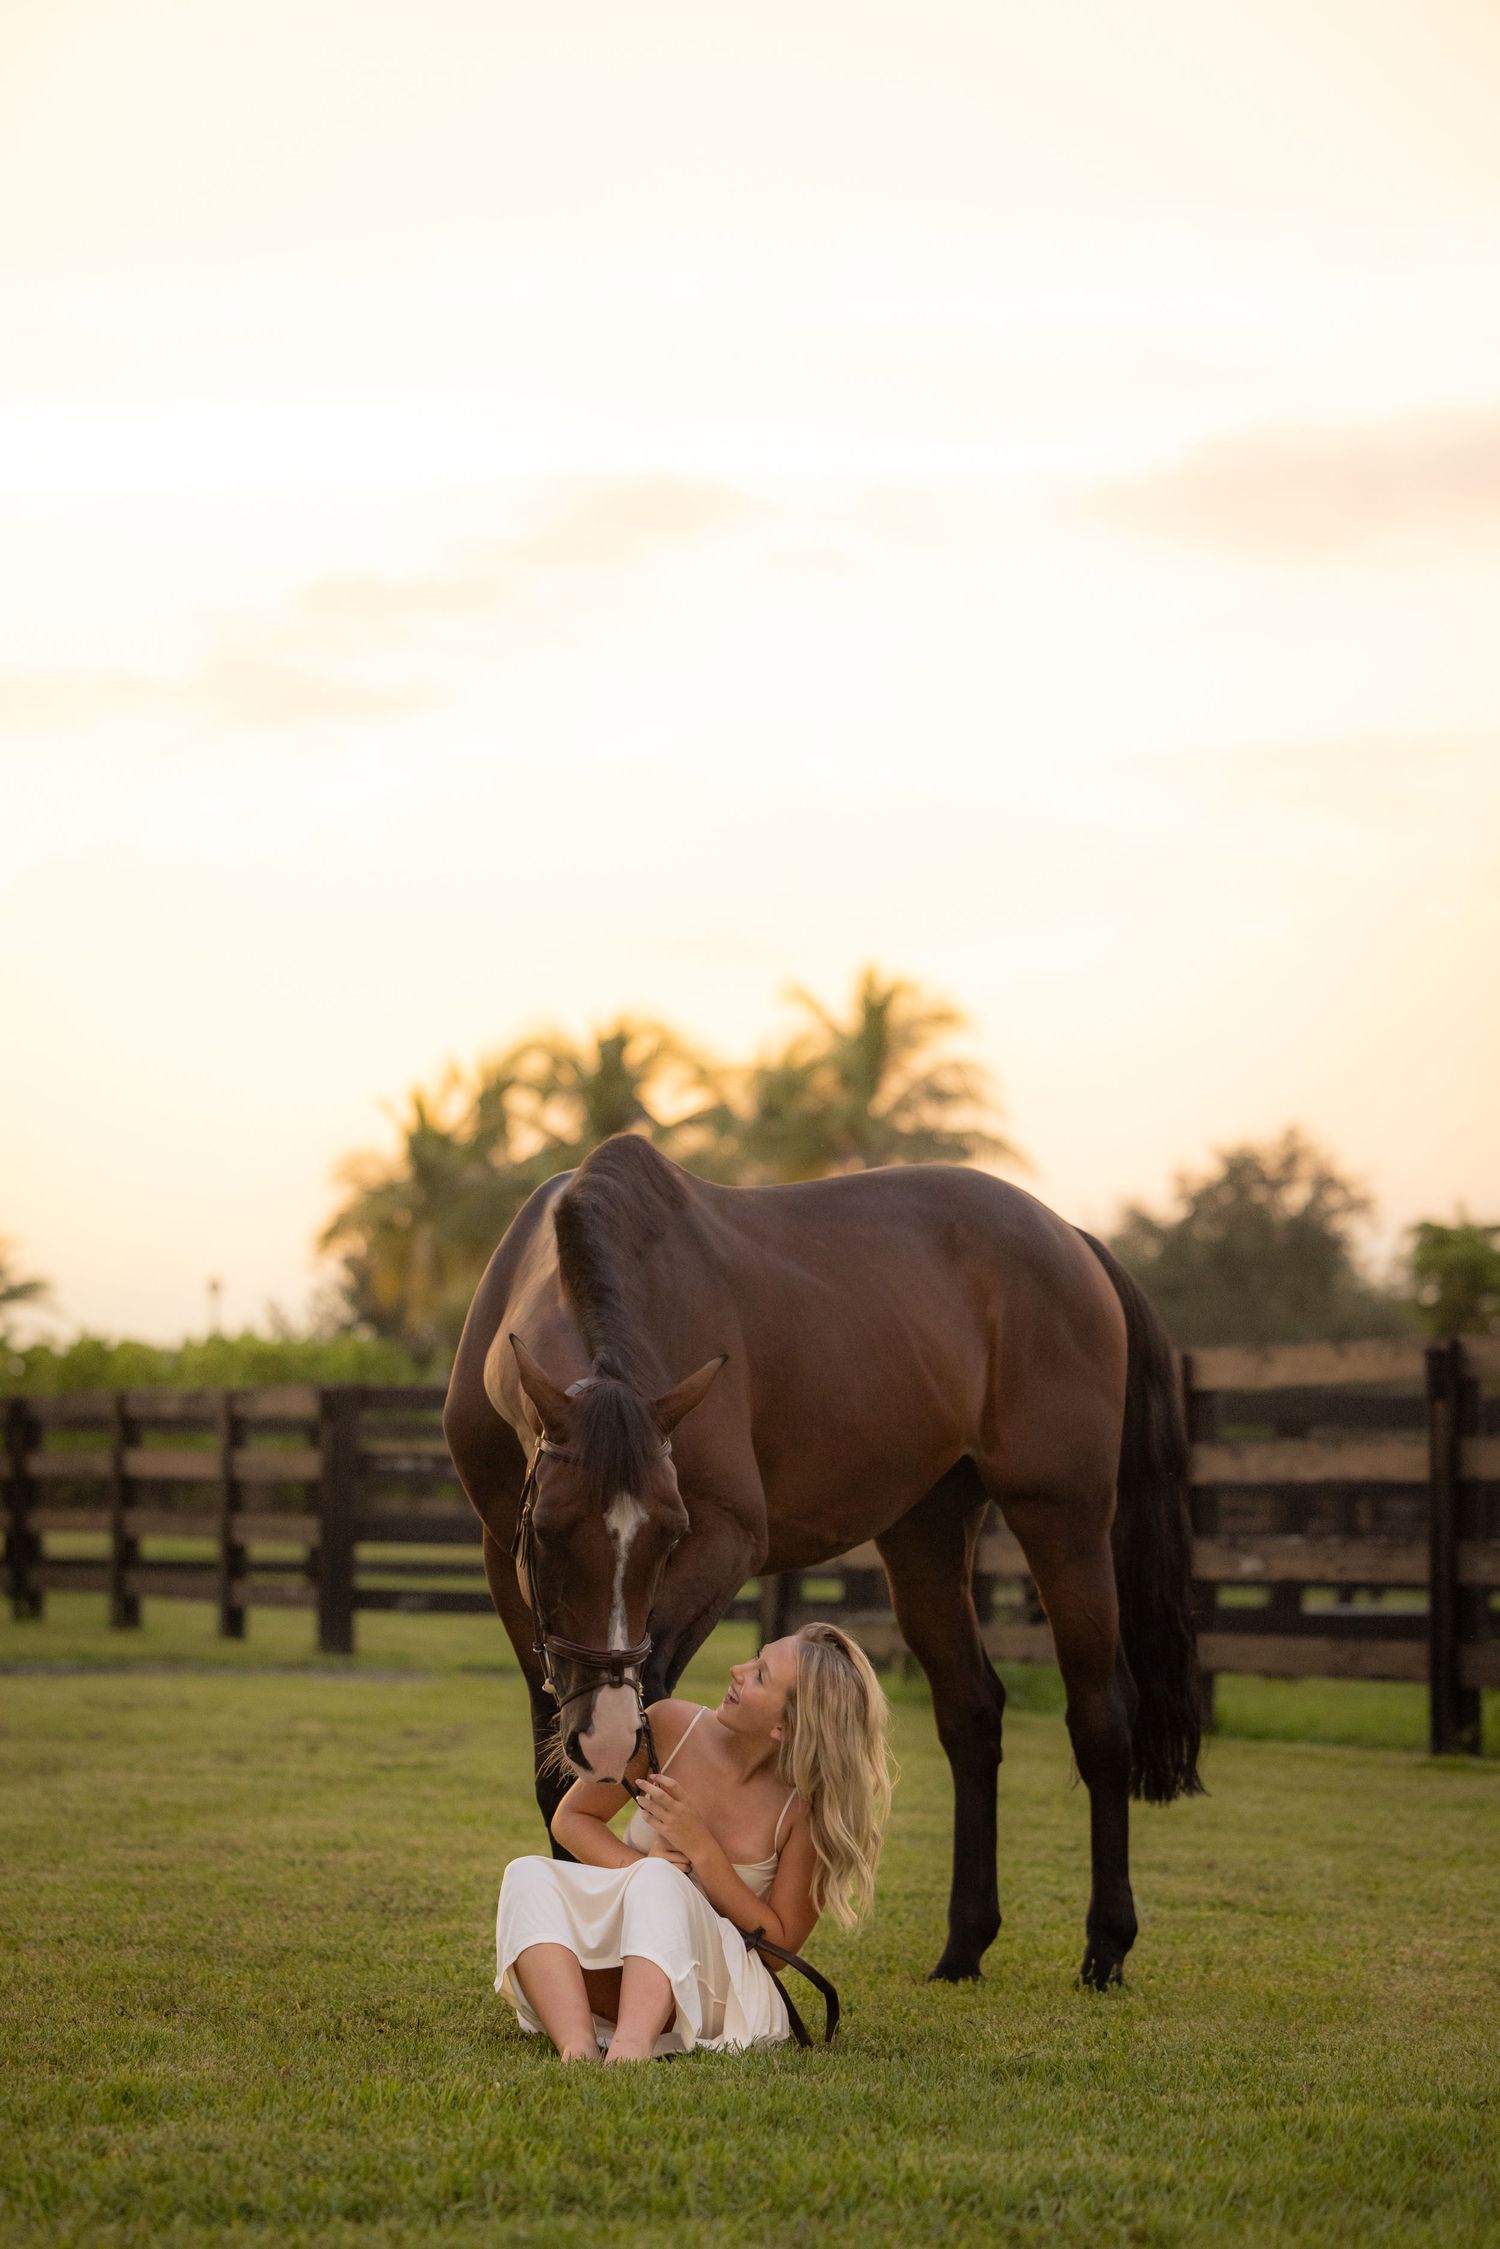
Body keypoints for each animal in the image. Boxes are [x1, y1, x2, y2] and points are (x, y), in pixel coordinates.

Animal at [443, 1132, 1201, 1989]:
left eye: (669, 1533)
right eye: (547, 1530)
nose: (602, 1732)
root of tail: (1071, 1238)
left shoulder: (725, 1540)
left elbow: (650, 1716)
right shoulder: (506, 1566)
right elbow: (556, 1772)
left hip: (1063, 1517)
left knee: (1101, 1715)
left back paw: (1106, 1946)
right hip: (926, 1529)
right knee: (971, 1715)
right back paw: (964, 1947)